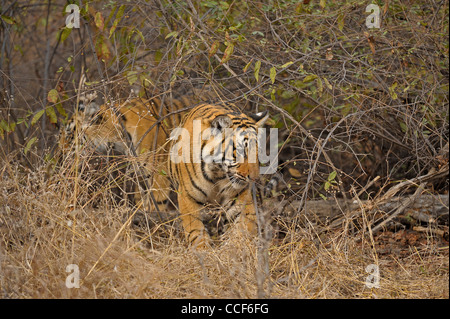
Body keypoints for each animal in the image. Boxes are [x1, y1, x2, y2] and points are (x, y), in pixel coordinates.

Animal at [61, 93, 268, 250]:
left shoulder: (158, 178)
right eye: (240, 151)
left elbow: (244, 227)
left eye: (258, 152)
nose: (61, 152)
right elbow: (194, 232)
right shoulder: (169, 188)